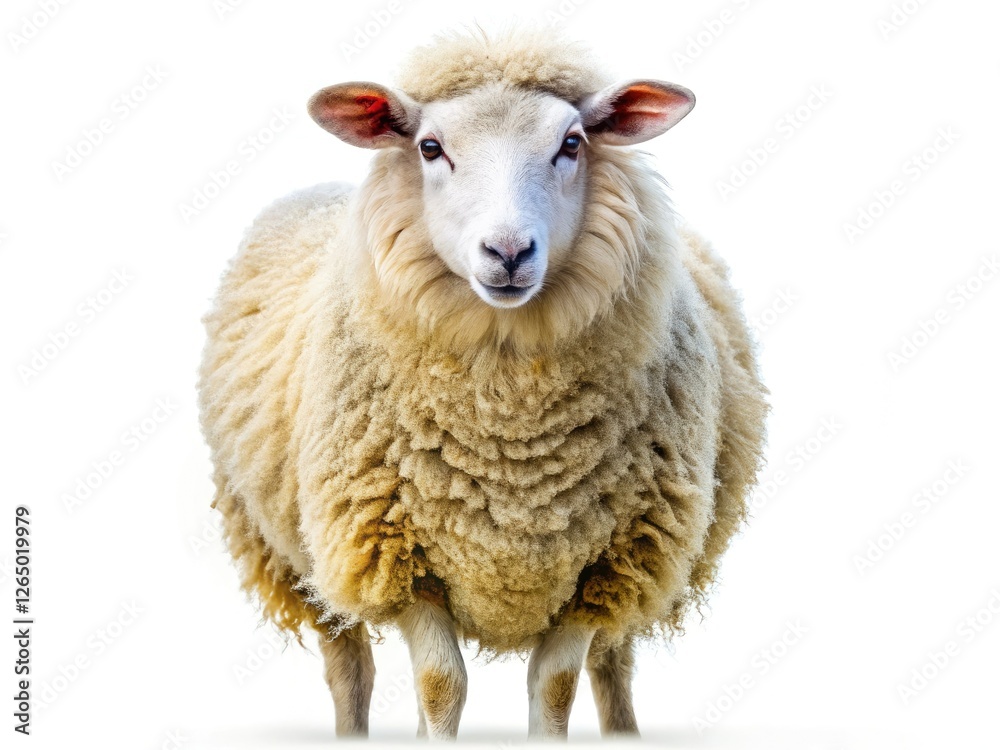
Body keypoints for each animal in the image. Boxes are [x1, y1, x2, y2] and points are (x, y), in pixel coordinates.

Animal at [198, 28, 767, 741]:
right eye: (429, 147)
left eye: (571, 143)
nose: (508, 252)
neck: (509, 420)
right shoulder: (395, 553)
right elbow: (441, 685)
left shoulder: (609, 562)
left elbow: (555, 687)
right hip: (288, 549)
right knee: (348, 665)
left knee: (614, 661)